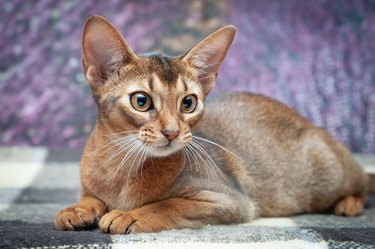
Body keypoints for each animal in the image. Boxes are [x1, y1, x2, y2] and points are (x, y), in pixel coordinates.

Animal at [55, 15, 370, 233]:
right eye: (141, 101)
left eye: (188, 103)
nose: (172, 132)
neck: (120, 163)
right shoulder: (90, 185)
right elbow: (90, 197)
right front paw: (78, 209)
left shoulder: (228, 200)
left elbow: (167, 204)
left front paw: (129, 214)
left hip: (330, 175)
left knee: (363, 183)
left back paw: (349, 203)